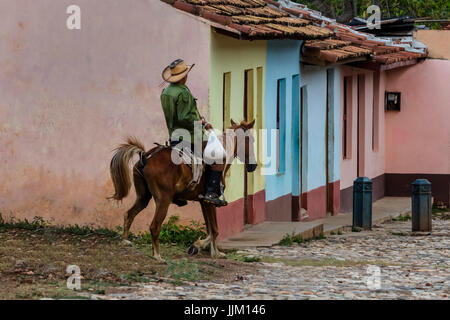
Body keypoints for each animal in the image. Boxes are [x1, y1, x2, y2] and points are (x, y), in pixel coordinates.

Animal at [108, 119, 256, 262]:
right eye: (252, 140)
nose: (253, 166)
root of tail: (146, 156)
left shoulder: (203, 202)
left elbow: (210, 229)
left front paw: (210, 251)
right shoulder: (210, 201)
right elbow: (215, 229)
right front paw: (205, 249)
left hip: (143, 197)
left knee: (129, 214)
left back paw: (125, 241)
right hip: (163, 200)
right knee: (154, 226)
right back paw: (157, 256)